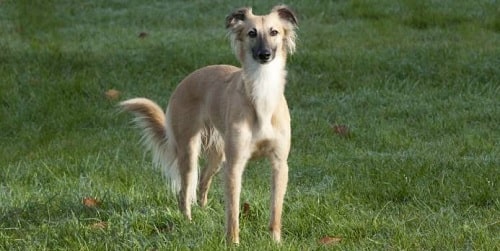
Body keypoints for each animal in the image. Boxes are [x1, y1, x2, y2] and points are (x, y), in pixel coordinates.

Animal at [120, 5, 296, 244]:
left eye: (274, 32)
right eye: (251, 33)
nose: (265, 55)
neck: (262, 95)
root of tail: (186, 80)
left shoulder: (279, 164)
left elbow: (276, 209)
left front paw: (275, 241)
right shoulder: (234, 165)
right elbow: (233, 211)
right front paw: (233, 242)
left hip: (218, 155)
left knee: (203, 182)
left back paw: (203, 212)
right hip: (189, 151)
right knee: (185, 191)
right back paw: (188, 222)